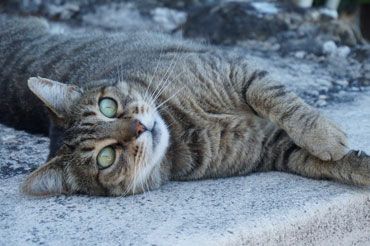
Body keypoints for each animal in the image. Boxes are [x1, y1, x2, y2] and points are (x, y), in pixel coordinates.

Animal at [0, 14, 368, 196]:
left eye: (108, 106)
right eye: (106, 158)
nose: (139, 127)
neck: (182, 123)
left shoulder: (235, 70)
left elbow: (281, 101)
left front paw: (322, 134)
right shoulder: (273, 148)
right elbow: (325, 163)